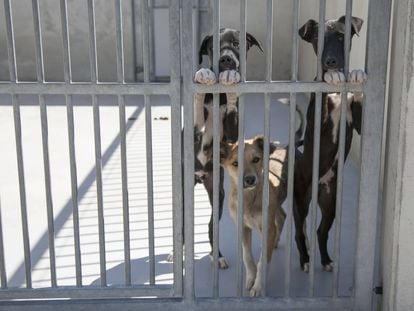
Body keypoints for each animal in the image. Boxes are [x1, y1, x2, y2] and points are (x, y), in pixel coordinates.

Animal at [167, 28, 262, 270]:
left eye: (237, 44)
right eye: (213, 47)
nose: (226, 60)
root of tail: (200, 176)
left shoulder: (233, 131)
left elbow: (232, 107)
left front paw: (231, 82)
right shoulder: (195, 128)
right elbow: (198, 104)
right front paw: (204, 75)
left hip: (217, 192)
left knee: (212, 226)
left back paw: (216, 255)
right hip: (184, 191)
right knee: (182, 225)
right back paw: (175, 252)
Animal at [220, 110, 304, 298]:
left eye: (256, 159)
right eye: (235, 163)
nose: (250, 179)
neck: (249, 199)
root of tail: (287, 147)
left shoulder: (267, 227)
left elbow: (262, 262)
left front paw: (258, 286)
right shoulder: (243, 227)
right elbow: (247, 257)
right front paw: (251, 279)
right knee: (282, 216)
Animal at [292, 15, 368, 272]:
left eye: (341, 36)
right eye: (317, 39)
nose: (330, 62)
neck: (337, 93)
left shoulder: (359, 123)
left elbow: (359, 98)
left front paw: (356, 74)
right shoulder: (319, 121)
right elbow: (322, 92)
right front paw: (328, 77)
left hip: (330, 205)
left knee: (321, 232)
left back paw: (325, 260)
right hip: (300, 201)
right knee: (299, 232)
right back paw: (305, 260)